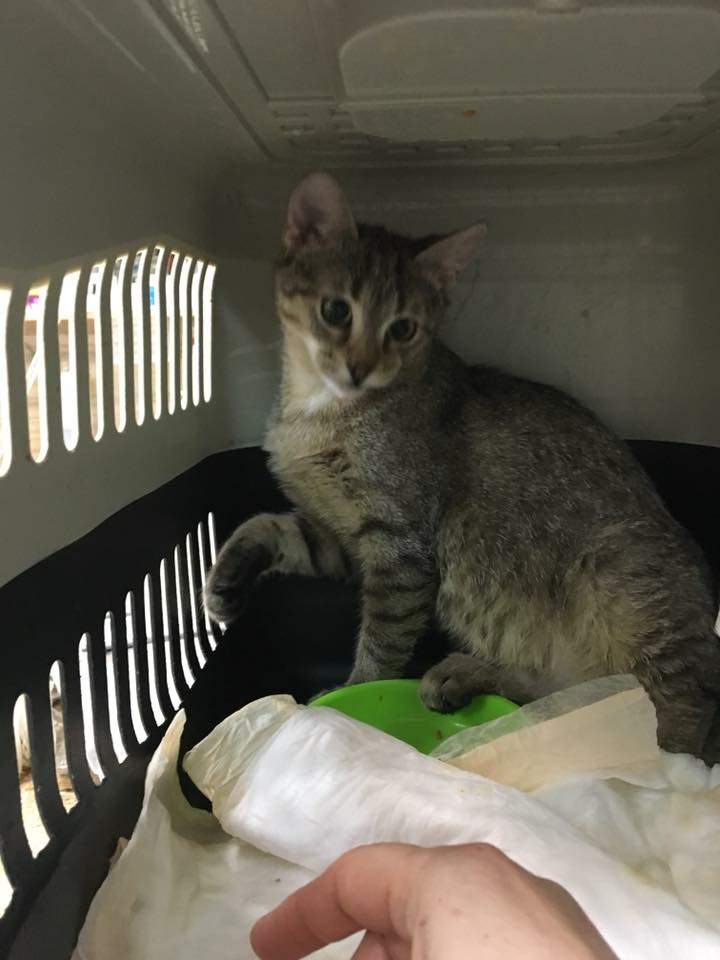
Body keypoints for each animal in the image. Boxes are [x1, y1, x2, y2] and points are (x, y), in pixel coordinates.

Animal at [204, 172, 720, 763]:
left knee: (676, 707)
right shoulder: (340, 539)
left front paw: (354, 702)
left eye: (403, 329)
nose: (360, 367)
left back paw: (669, 763)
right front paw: (225, 581)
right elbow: (266, 525)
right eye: (336, 311)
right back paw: (462, 675)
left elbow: (382, 642)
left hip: (628, 591)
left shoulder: (400, 549)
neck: (319, 410)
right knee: (562, 694)